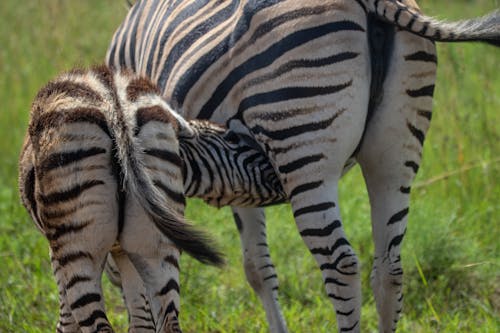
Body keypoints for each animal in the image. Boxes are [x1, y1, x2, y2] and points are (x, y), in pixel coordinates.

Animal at [19, 64, 286, 330]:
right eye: (232, 138)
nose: (282, 177)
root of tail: (115, 106)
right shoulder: (125, 250)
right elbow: (140, 320)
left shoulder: (58, 253)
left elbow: (67, 321)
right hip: (157, 244)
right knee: (169, 322)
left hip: (78, 245)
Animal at [106, 1, 500, 330]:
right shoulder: (236, 173)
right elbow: (258, 267)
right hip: (396, 151)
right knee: (390, 267)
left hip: (302, 145)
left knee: (341, 265)